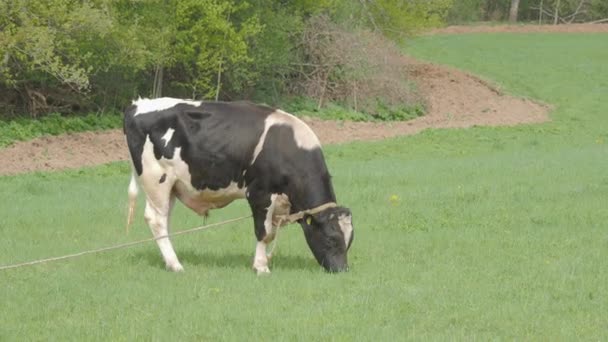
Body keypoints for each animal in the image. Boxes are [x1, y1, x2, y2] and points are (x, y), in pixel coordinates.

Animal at [123, 97, 354, 274]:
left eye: (349, 241)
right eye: (331, 239)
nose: (342, 270)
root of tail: (138, 104)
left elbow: (270, 233)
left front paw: (264, 261)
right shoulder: (260, 194)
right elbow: (264, 232)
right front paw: (261, 267)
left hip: (172, 186)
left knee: (164, 222)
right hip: (157, 181)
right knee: (156, 220)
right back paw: (175, 265)